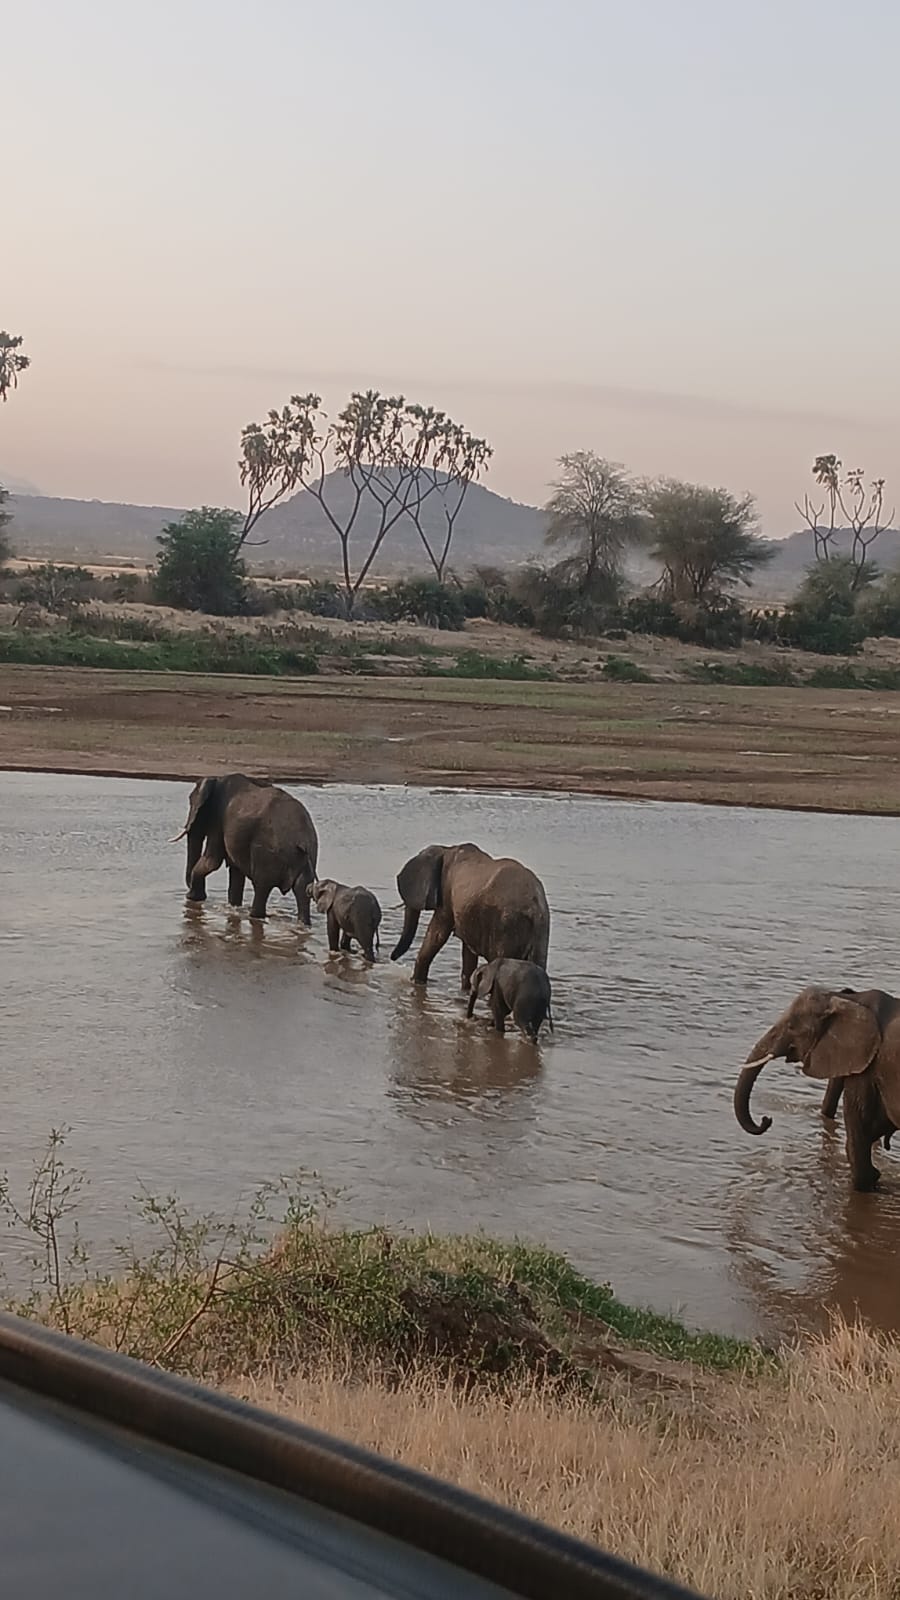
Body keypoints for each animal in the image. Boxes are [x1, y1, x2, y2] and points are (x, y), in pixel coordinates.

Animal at [171, 773, 318, 923]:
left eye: (191, 803)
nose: (188, 890)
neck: (216, 779)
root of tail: (301, 839)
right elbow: (235, 870)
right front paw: (233, 906)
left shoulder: (218, 819)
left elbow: (212, 861)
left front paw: (193, 898)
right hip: (307, 856)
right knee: (302, 888)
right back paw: (303, 923)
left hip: (269, 852)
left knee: (261, 886)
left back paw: (254, 915)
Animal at [390, 843, 550, 988]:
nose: (391, 958)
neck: (445, 849)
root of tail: (535, 907)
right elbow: (468, 953)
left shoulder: (447, 895)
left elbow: (437, 934)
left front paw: (416, 982)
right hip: (540, 932)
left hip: (507, 926)